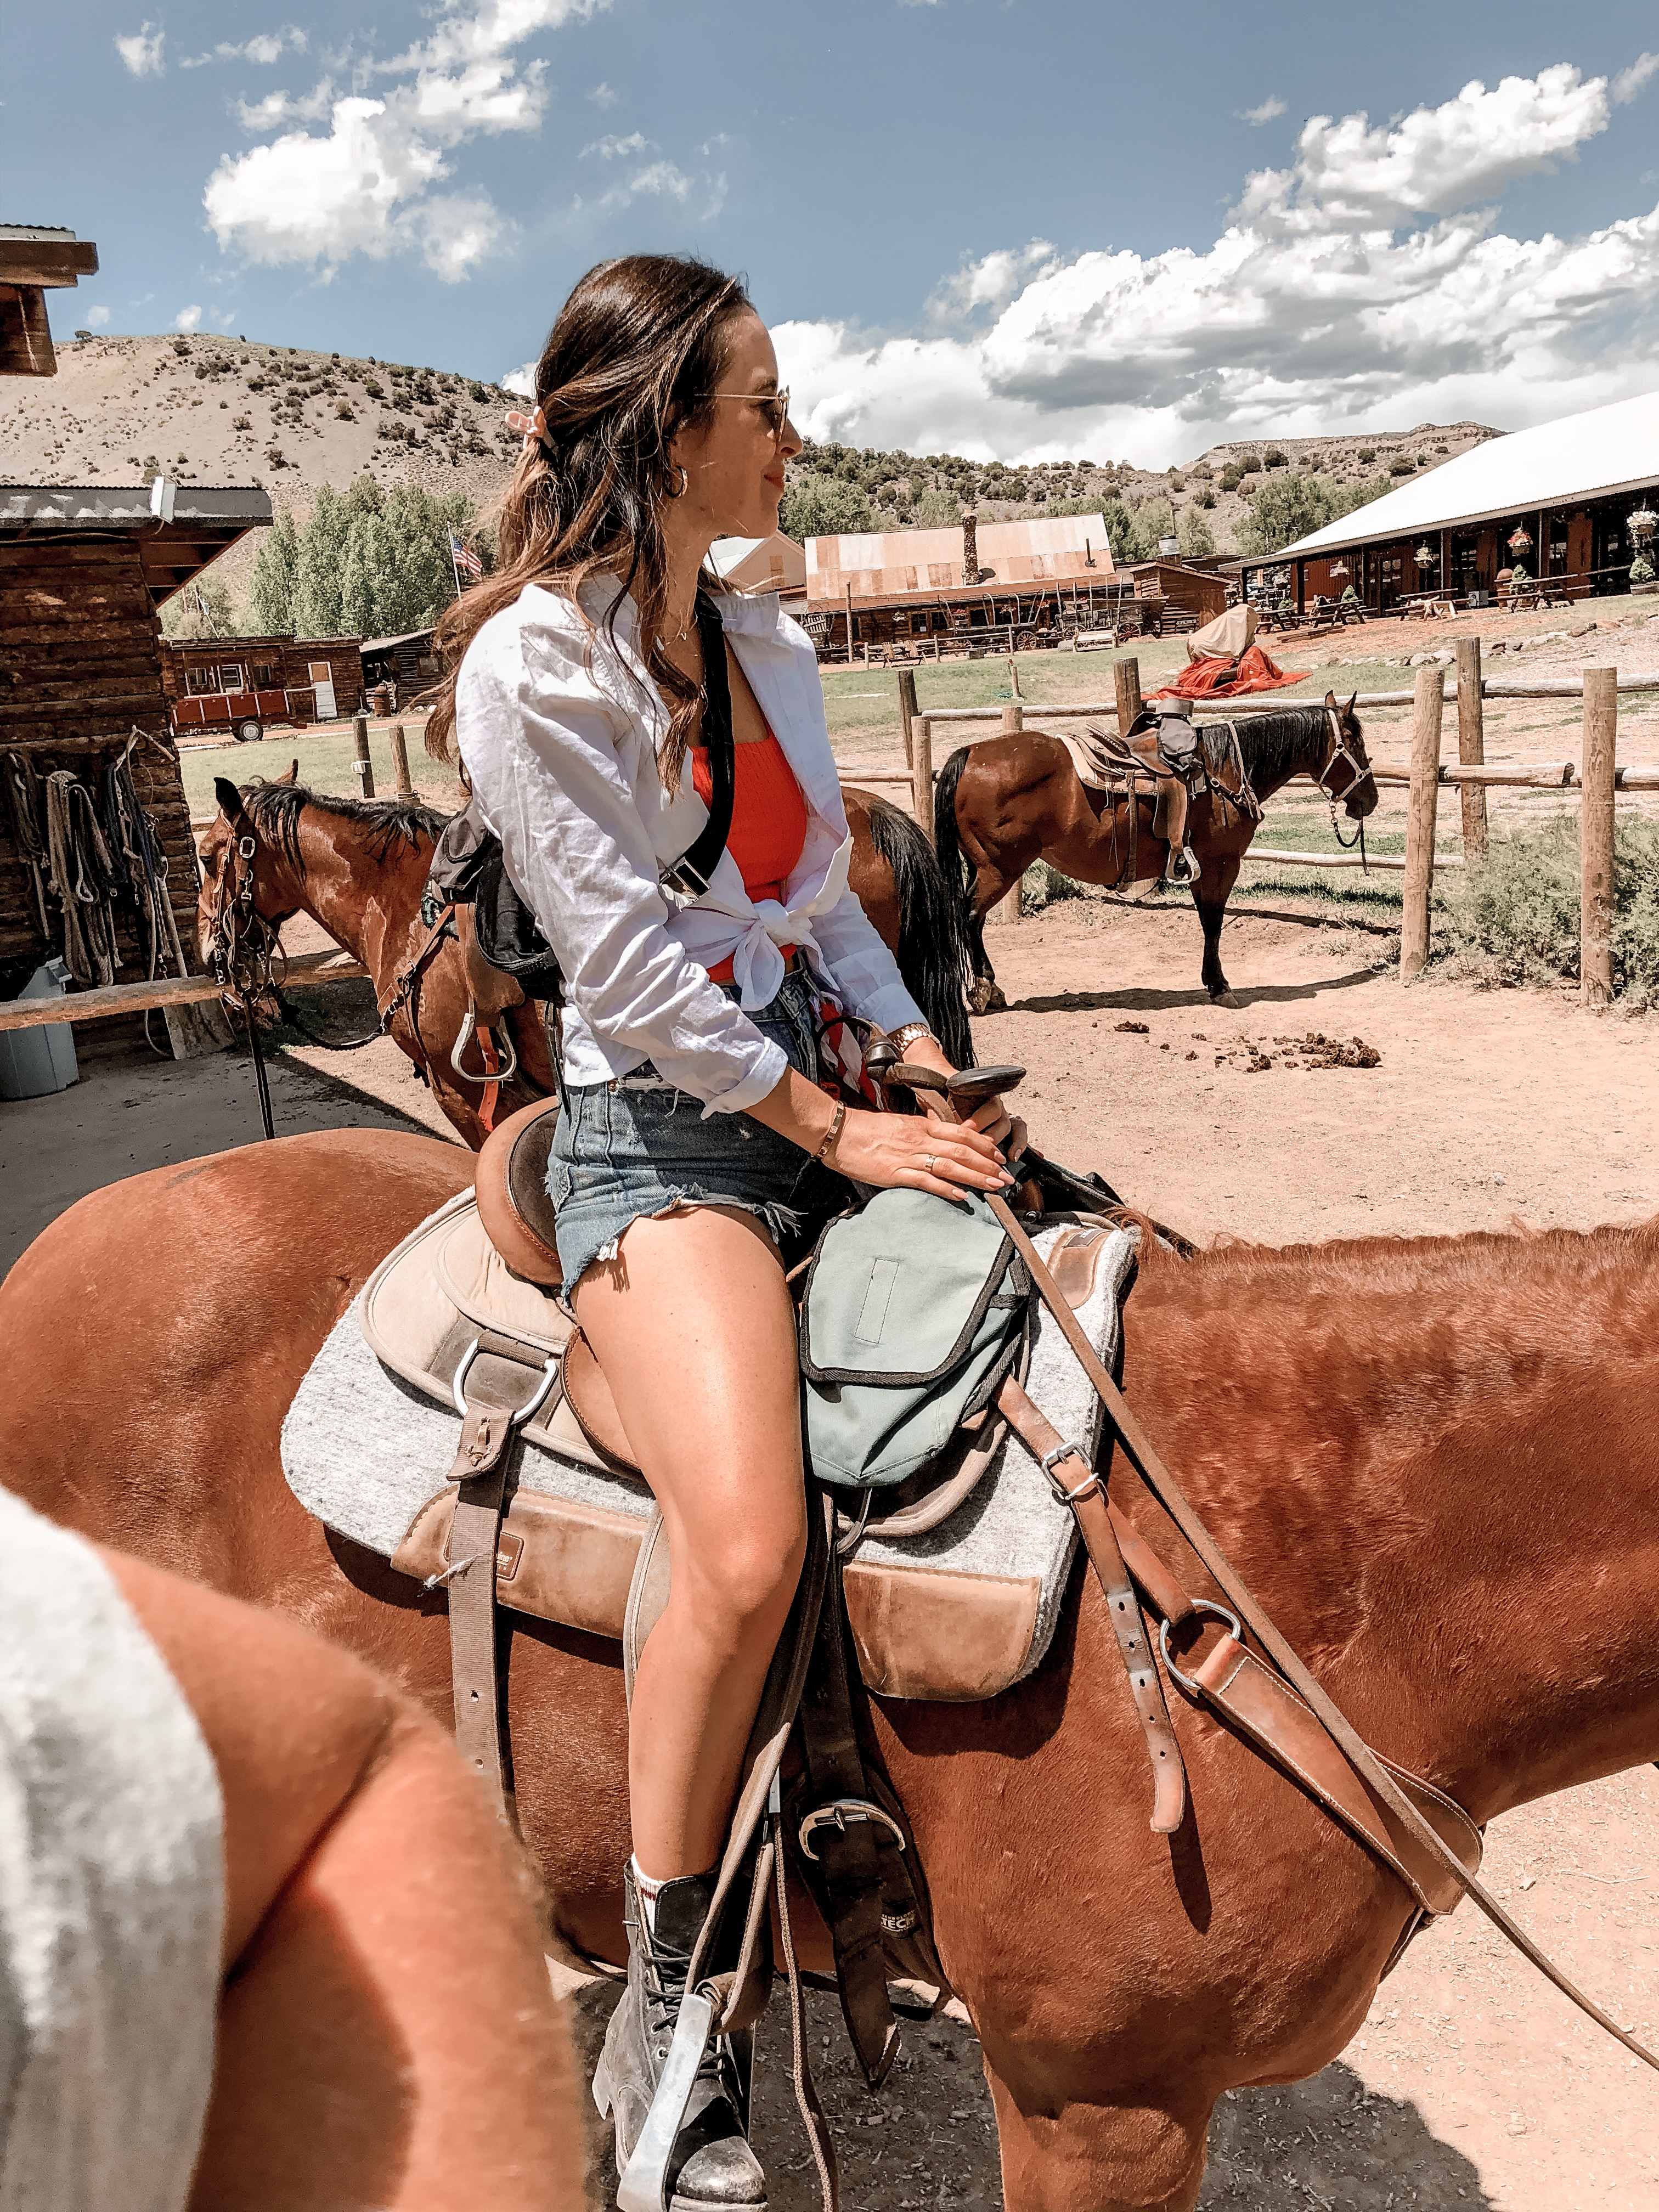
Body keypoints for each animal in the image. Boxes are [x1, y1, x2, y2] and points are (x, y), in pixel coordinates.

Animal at [938, 695, 1380, 1013]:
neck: (1225, 771)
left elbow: (1208, 922)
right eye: (1355, 742)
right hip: (998, 868)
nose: (1370, 800)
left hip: (983, 866)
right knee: (970, 916)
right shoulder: (1220, 864)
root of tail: (970, 754)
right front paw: (1220, 987)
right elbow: (1213, 923)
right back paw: (984, 991)